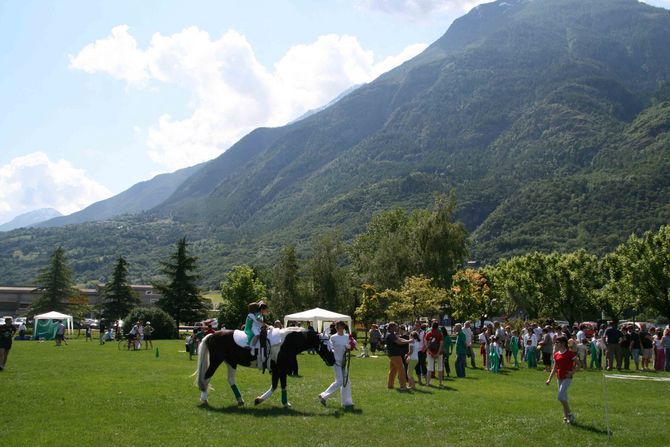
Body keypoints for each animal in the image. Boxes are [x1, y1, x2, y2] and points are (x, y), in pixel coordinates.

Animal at [193, 328, 334, 408]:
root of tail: (212, 335)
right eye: (325, 345)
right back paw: (204, 399)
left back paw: (240, 400)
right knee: (207, 377)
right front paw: (279, 402)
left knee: (231, 380)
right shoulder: (281, 369)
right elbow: (279, 386)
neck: (287, 342)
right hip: (216, 362)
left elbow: (277, 386)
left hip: (231, 363)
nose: (333, 359)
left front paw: (262, 400)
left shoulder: (278, 370)